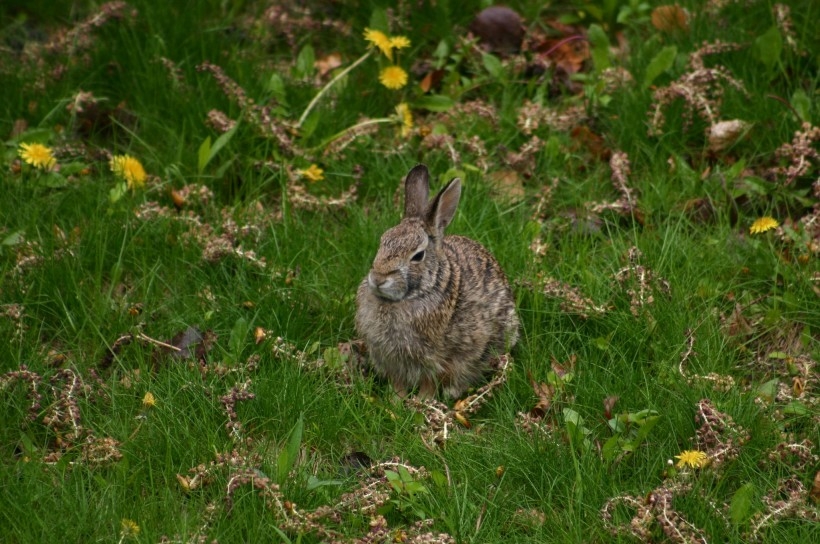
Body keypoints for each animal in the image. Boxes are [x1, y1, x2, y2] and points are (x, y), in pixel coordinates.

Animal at [354, 164, 520, 398]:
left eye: (417, 256)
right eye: (382, 242)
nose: (378, 278)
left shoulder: (438, 359)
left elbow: (430, 382)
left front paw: (422, 402)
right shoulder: (389, 359)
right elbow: (398, 383)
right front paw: (396, 401)